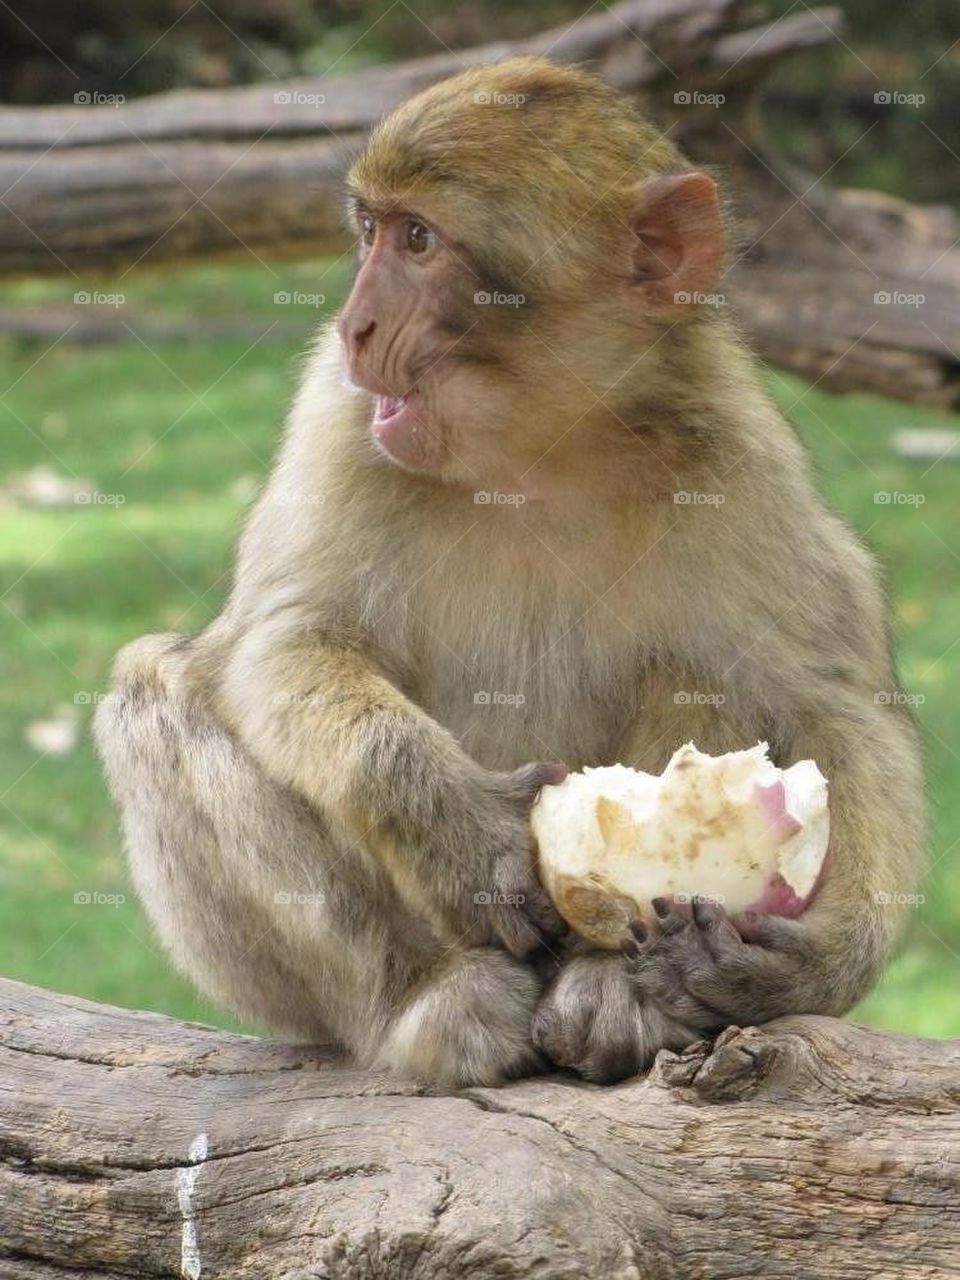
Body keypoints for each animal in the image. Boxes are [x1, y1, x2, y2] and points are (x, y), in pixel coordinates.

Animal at [95, 56, 925, 1088]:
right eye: (370, 230)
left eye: (419, 240)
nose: (356, 325)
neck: (538, 449)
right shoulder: (338, 413)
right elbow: (283, 643)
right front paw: (459, 832)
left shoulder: (743, 459)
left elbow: (840, 712)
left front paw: (808, 964)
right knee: (157, 688)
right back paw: (430, 999)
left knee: (697, 672)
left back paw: (620, 989)